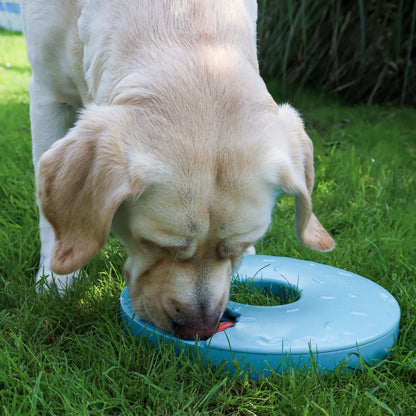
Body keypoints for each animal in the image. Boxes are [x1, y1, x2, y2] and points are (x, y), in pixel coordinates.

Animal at [22, 0, 334, 338]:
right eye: (156, 245)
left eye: (238, 247)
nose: (200, 330)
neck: (178, 16)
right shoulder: (48, 94)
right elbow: (48, 219)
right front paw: (55, 281)